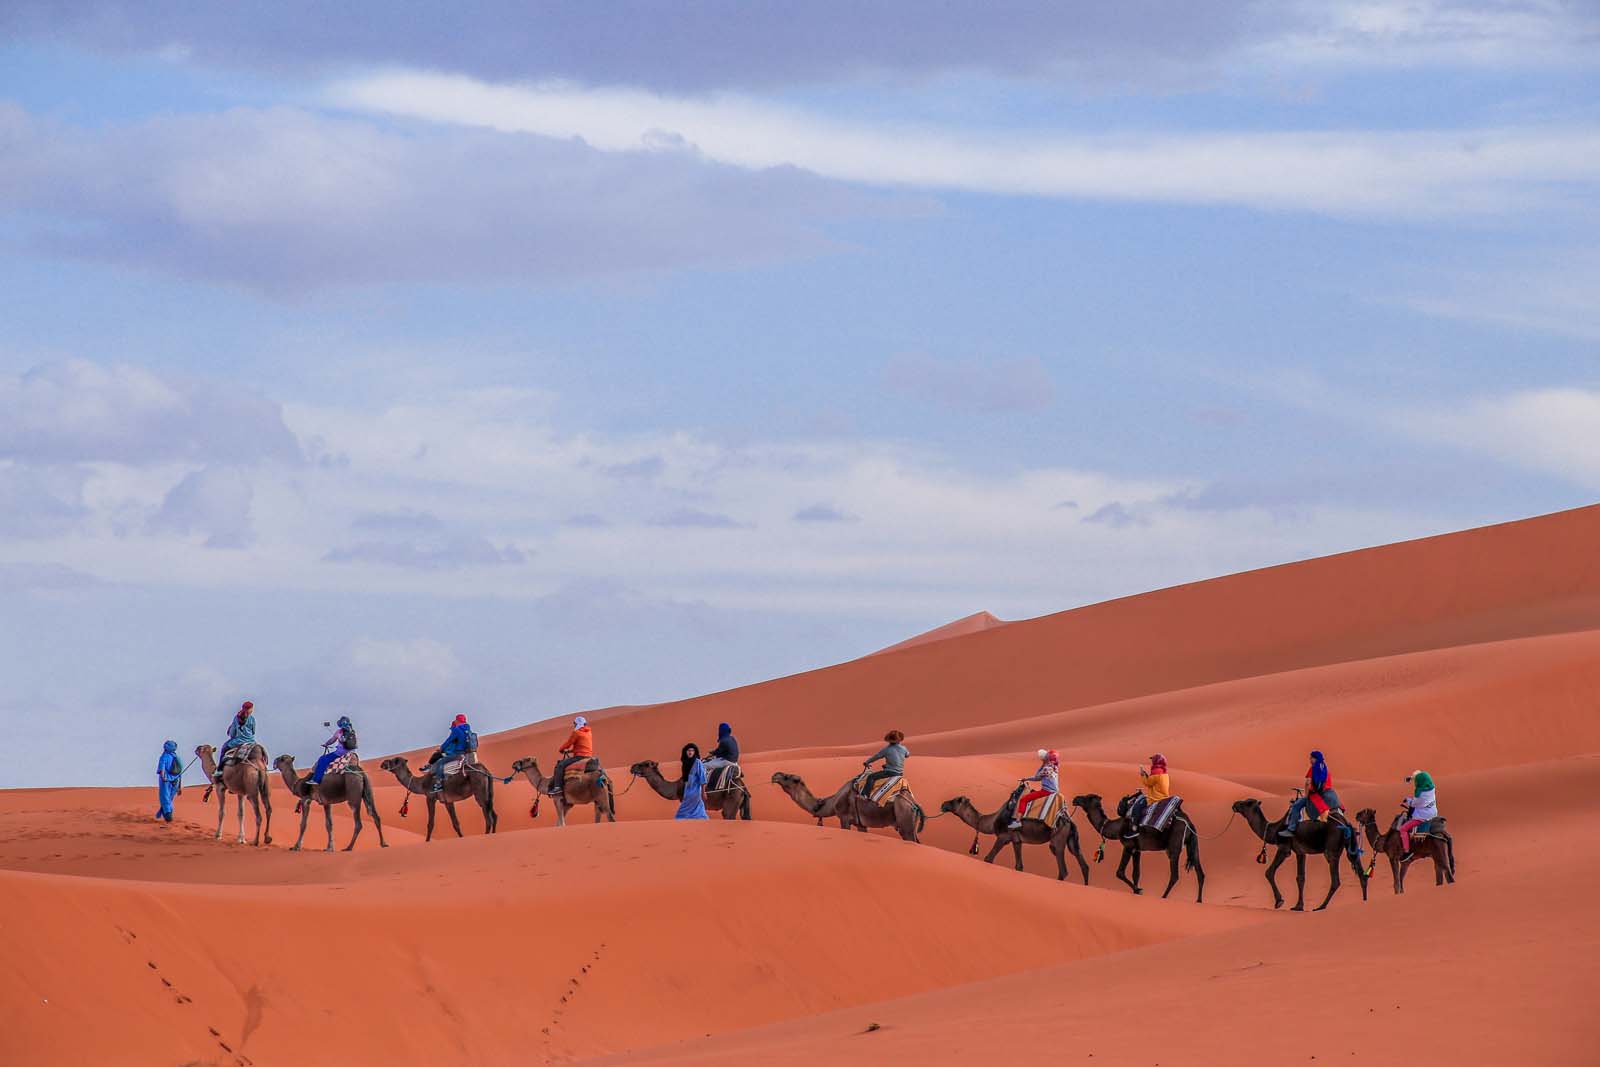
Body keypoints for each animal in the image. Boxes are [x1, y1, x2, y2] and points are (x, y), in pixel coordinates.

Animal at [934, 793, 1094, 883]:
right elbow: (1019, 866)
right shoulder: (1017, 841)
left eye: (956, 800)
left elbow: (988, 858)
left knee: (1062, 868)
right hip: (1071, 839)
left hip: (1058, 839)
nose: (943, 804)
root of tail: (1069, 820)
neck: (992, 821)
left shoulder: (1003, 837)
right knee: (1083, 863)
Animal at [1075, 793, 1203, 902]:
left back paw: (1163, 897)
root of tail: (1189, 823)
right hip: (1193, 844)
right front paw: (1136, 891)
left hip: (1174, 847)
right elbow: (1136, 874)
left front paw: (1138, 890)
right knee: (1200, 872)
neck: (1116, 827)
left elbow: (1119, 872)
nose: (1075, 799)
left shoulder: (1128, 846)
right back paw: (1199, 901)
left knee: (1175, 875)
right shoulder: (1137, 849)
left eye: (1088, 797)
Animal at [1228, 799, 1369, 908]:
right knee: (1360, 872)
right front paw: (1298, 906)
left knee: (1336, 880)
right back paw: (1364, 901)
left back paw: (1321, 906)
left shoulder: (1284, 848)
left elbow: (1269, 872)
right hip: (1350, 846)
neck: (1274, 830)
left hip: (1331, 850)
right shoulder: (1300, 852)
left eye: (1247, 803)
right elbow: (1300, 878)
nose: (1235, 804)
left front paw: (1279, 901)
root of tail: (1346, 823)